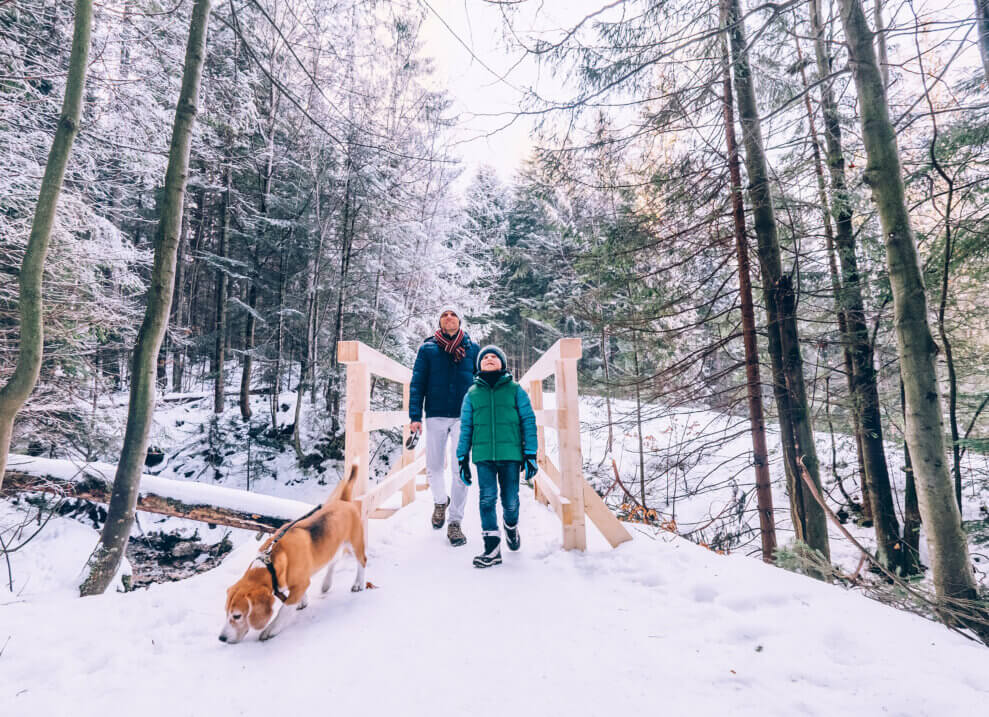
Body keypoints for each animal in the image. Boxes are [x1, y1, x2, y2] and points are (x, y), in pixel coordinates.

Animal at [220, 464, 366, 644]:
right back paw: (326, 584)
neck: (270, 563)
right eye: (226, 612)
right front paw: (302, 601)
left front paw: (271, 629)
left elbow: (284, 609)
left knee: (362, 562)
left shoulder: (302, 583)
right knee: (333, 562)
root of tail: (343, 501)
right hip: (334, 546)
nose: (221, 638)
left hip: (355, 543)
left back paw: (358, 583)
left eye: (237, 616)